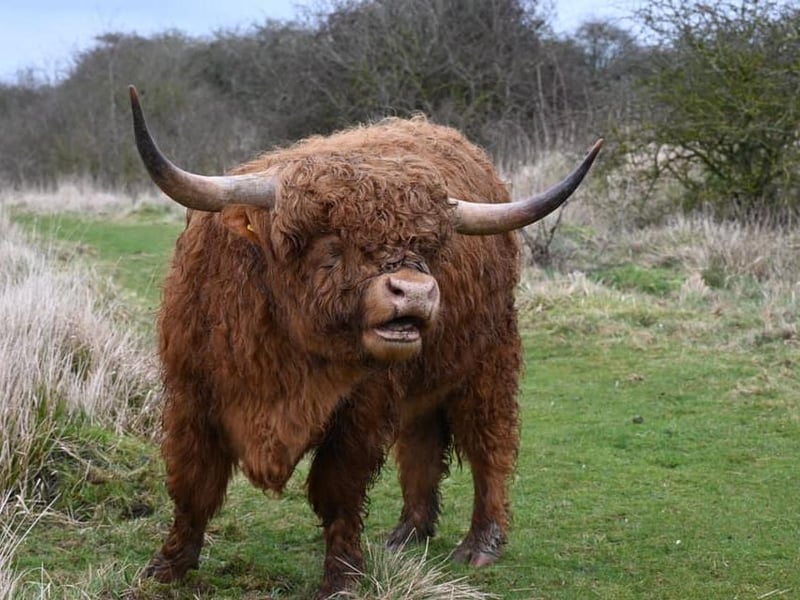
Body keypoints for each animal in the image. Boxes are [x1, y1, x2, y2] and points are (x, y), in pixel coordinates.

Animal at [128, 84, 601, 598]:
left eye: (429, 249)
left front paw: (343, 578)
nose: (415, 292)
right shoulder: (190, 397)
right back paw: (408, 534)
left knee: (489, 443)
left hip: (487, 361)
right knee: (422, 442)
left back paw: (482, 544)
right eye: (330, 243)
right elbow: (192, 484)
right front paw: (165, 569)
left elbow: (339, 491)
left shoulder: (363, 409)